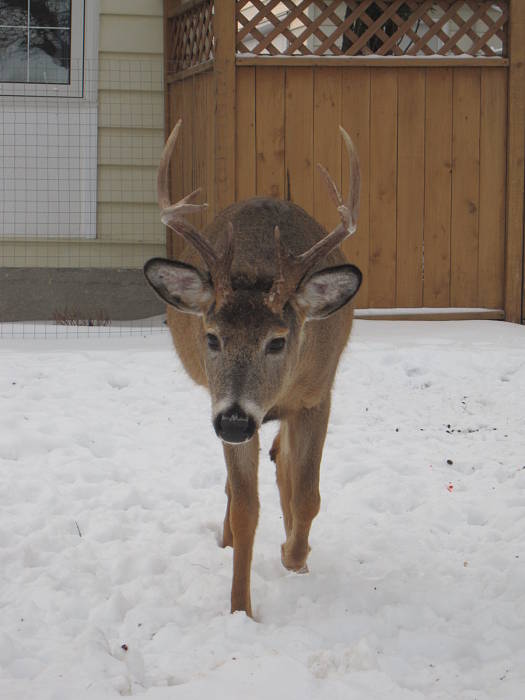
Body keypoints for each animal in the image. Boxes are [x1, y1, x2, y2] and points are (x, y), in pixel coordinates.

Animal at [143, 120, 360, 616]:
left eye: (277, 340)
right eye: (211, 337)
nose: (235, 421)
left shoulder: (317, 395)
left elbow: (308, 494)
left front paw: (293, 556)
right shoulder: (224, 406)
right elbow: (246, 508)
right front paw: (240, 610)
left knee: (286, 466)